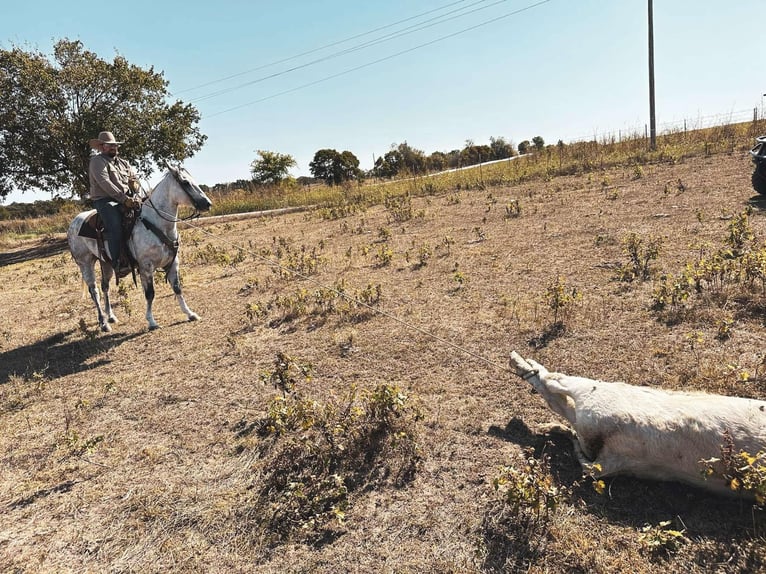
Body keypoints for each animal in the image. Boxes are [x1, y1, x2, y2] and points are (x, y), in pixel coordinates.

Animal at [67, 166, 213, 332]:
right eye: (185, 182)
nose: (207, 204)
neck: (155, 223)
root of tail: (74, 222)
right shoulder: (146, 267)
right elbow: (150, 294)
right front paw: (151, 321)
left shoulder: (173, 263)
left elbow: (177, 289)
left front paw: (190, 313)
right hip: (85, 263)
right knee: (94, 291)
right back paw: (103, 323)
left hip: (105, 262)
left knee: (105, 287)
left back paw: (110, 317)